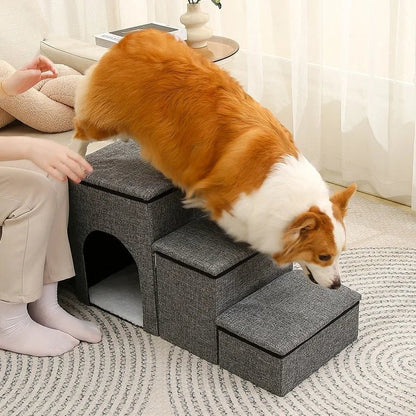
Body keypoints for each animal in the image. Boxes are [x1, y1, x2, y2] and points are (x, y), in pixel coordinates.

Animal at [70, 28, 354, 290]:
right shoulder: (224, 200)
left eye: (341, 253)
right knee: (81, 127)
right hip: (105, 120)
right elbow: (241, 226)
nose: (337, 285)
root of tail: (133, 35)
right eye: (323, 256)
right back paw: (76, 156)